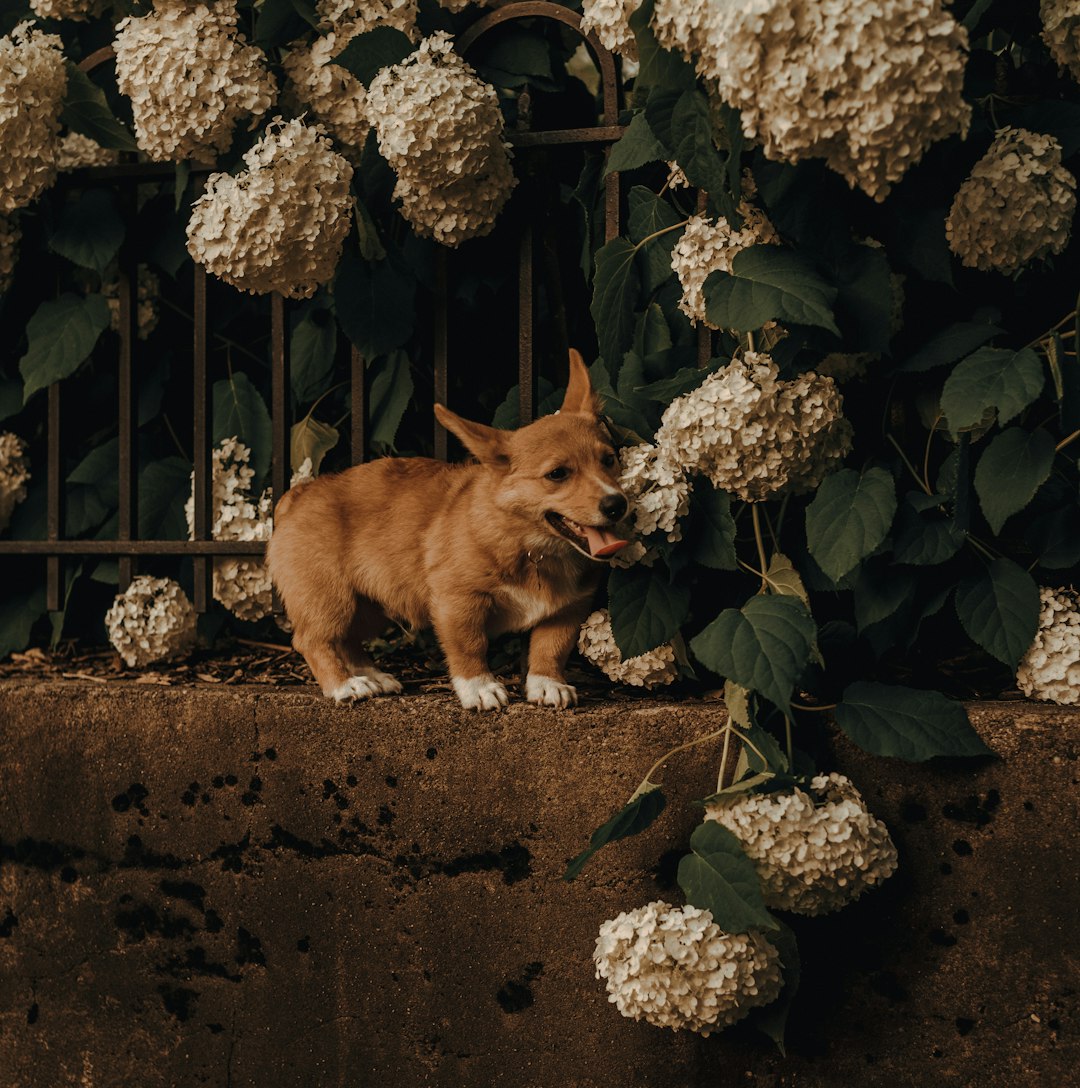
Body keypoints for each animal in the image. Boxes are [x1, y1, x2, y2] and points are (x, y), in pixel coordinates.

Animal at [264, 345, 626, 705]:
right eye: (557, 474)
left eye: (609, 460)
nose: (617, 505)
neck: (529, 545)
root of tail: (298, 494)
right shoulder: (458, 601)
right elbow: (470, 647)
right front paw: (479, 688)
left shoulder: (567, 610)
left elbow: (550, 649)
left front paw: (547, 684)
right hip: (330, 600)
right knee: (313, 641)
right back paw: (343, 685)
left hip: (370, 607)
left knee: (349, 639)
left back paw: (372, 676)